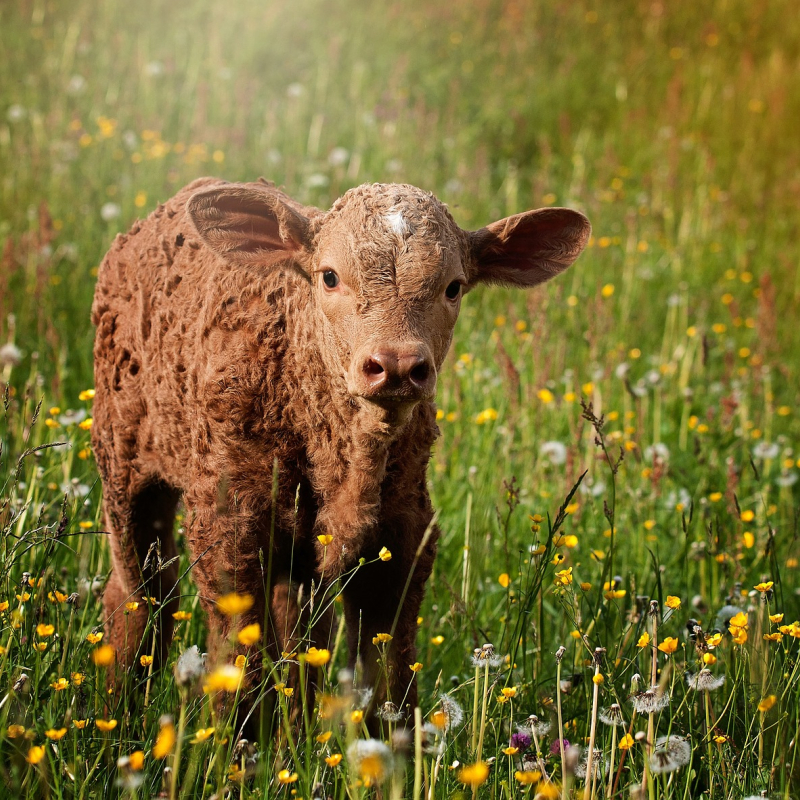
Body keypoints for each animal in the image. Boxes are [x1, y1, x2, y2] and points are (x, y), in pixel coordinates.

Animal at [90, 178, 588, 720]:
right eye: (329, 277)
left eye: (453, 286)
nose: (396, 364)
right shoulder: (226, 528)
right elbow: (240, 670)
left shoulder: (403, 535)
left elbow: (389, 676)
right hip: (124, 471)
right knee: (139, 596)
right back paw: (119, 705)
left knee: (297, 624)